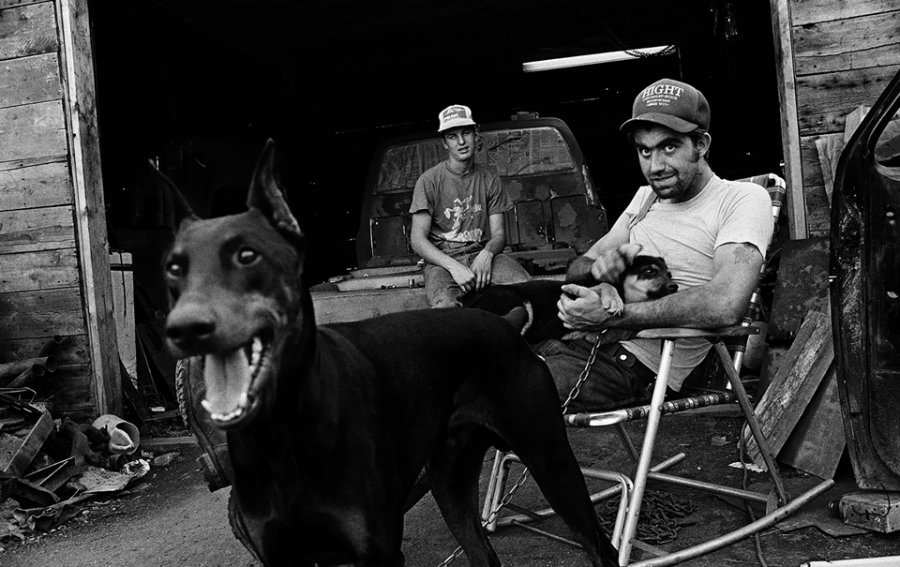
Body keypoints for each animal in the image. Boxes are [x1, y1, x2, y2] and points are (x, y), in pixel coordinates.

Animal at [163, 139, 620, 567]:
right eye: (173, 267)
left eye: (248, 255)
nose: (184, 329)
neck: (283, 429)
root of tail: (505, 322)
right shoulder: (279, 553)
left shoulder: (378, 549)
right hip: (450, 477)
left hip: (547, 455)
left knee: (601, 546)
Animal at [464, 256, 676, 344]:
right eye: (649, 271)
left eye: (669, 274)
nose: (675, 286)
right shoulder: (573, 290)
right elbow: (605, 285)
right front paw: (614, 301)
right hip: (519, 302)